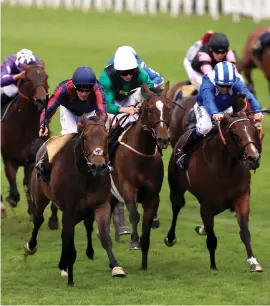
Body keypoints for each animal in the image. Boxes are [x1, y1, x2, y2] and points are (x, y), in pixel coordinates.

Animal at [0, 61, 48, 214]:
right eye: (28, 79)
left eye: (45, 77)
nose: (41, 100)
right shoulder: (8, 158)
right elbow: (11, 178)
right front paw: (12, 198)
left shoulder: (31, 159)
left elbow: (27, 182)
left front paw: (31, 209)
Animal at [24, 116, 125, 286]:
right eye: (85, 137)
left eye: (106, 137)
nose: (98, 165)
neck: (86, 176)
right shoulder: (69, 209)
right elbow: (69, 239)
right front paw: (70, 277)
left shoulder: (101, 204)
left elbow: (104, 236)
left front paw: (116, 267)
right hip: (40, 196)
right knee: (38, 220)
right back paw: (32, 247)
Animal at [111, 82, 171, 270]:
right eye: (150, 109)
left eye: (168, 107)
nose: (163, 139)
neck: (141, 154)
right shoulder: (128, 189)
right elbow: (135, 215)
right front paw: (134, 242)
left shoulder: (152, 196)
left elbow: (147, 222)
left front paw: (144, 261)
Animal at [165, 96, 264, 272]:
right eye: (235, 134)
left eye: (252, 130)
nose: (253, 158)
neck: (226, 168)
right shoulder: (207, 204)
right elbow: (212, 238)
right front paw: (213, 265)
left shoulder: (241, 197)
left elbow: (245, 232)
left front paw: (254, 262)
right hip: (176, 186)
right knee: (176, 208)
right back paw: (170, 237)